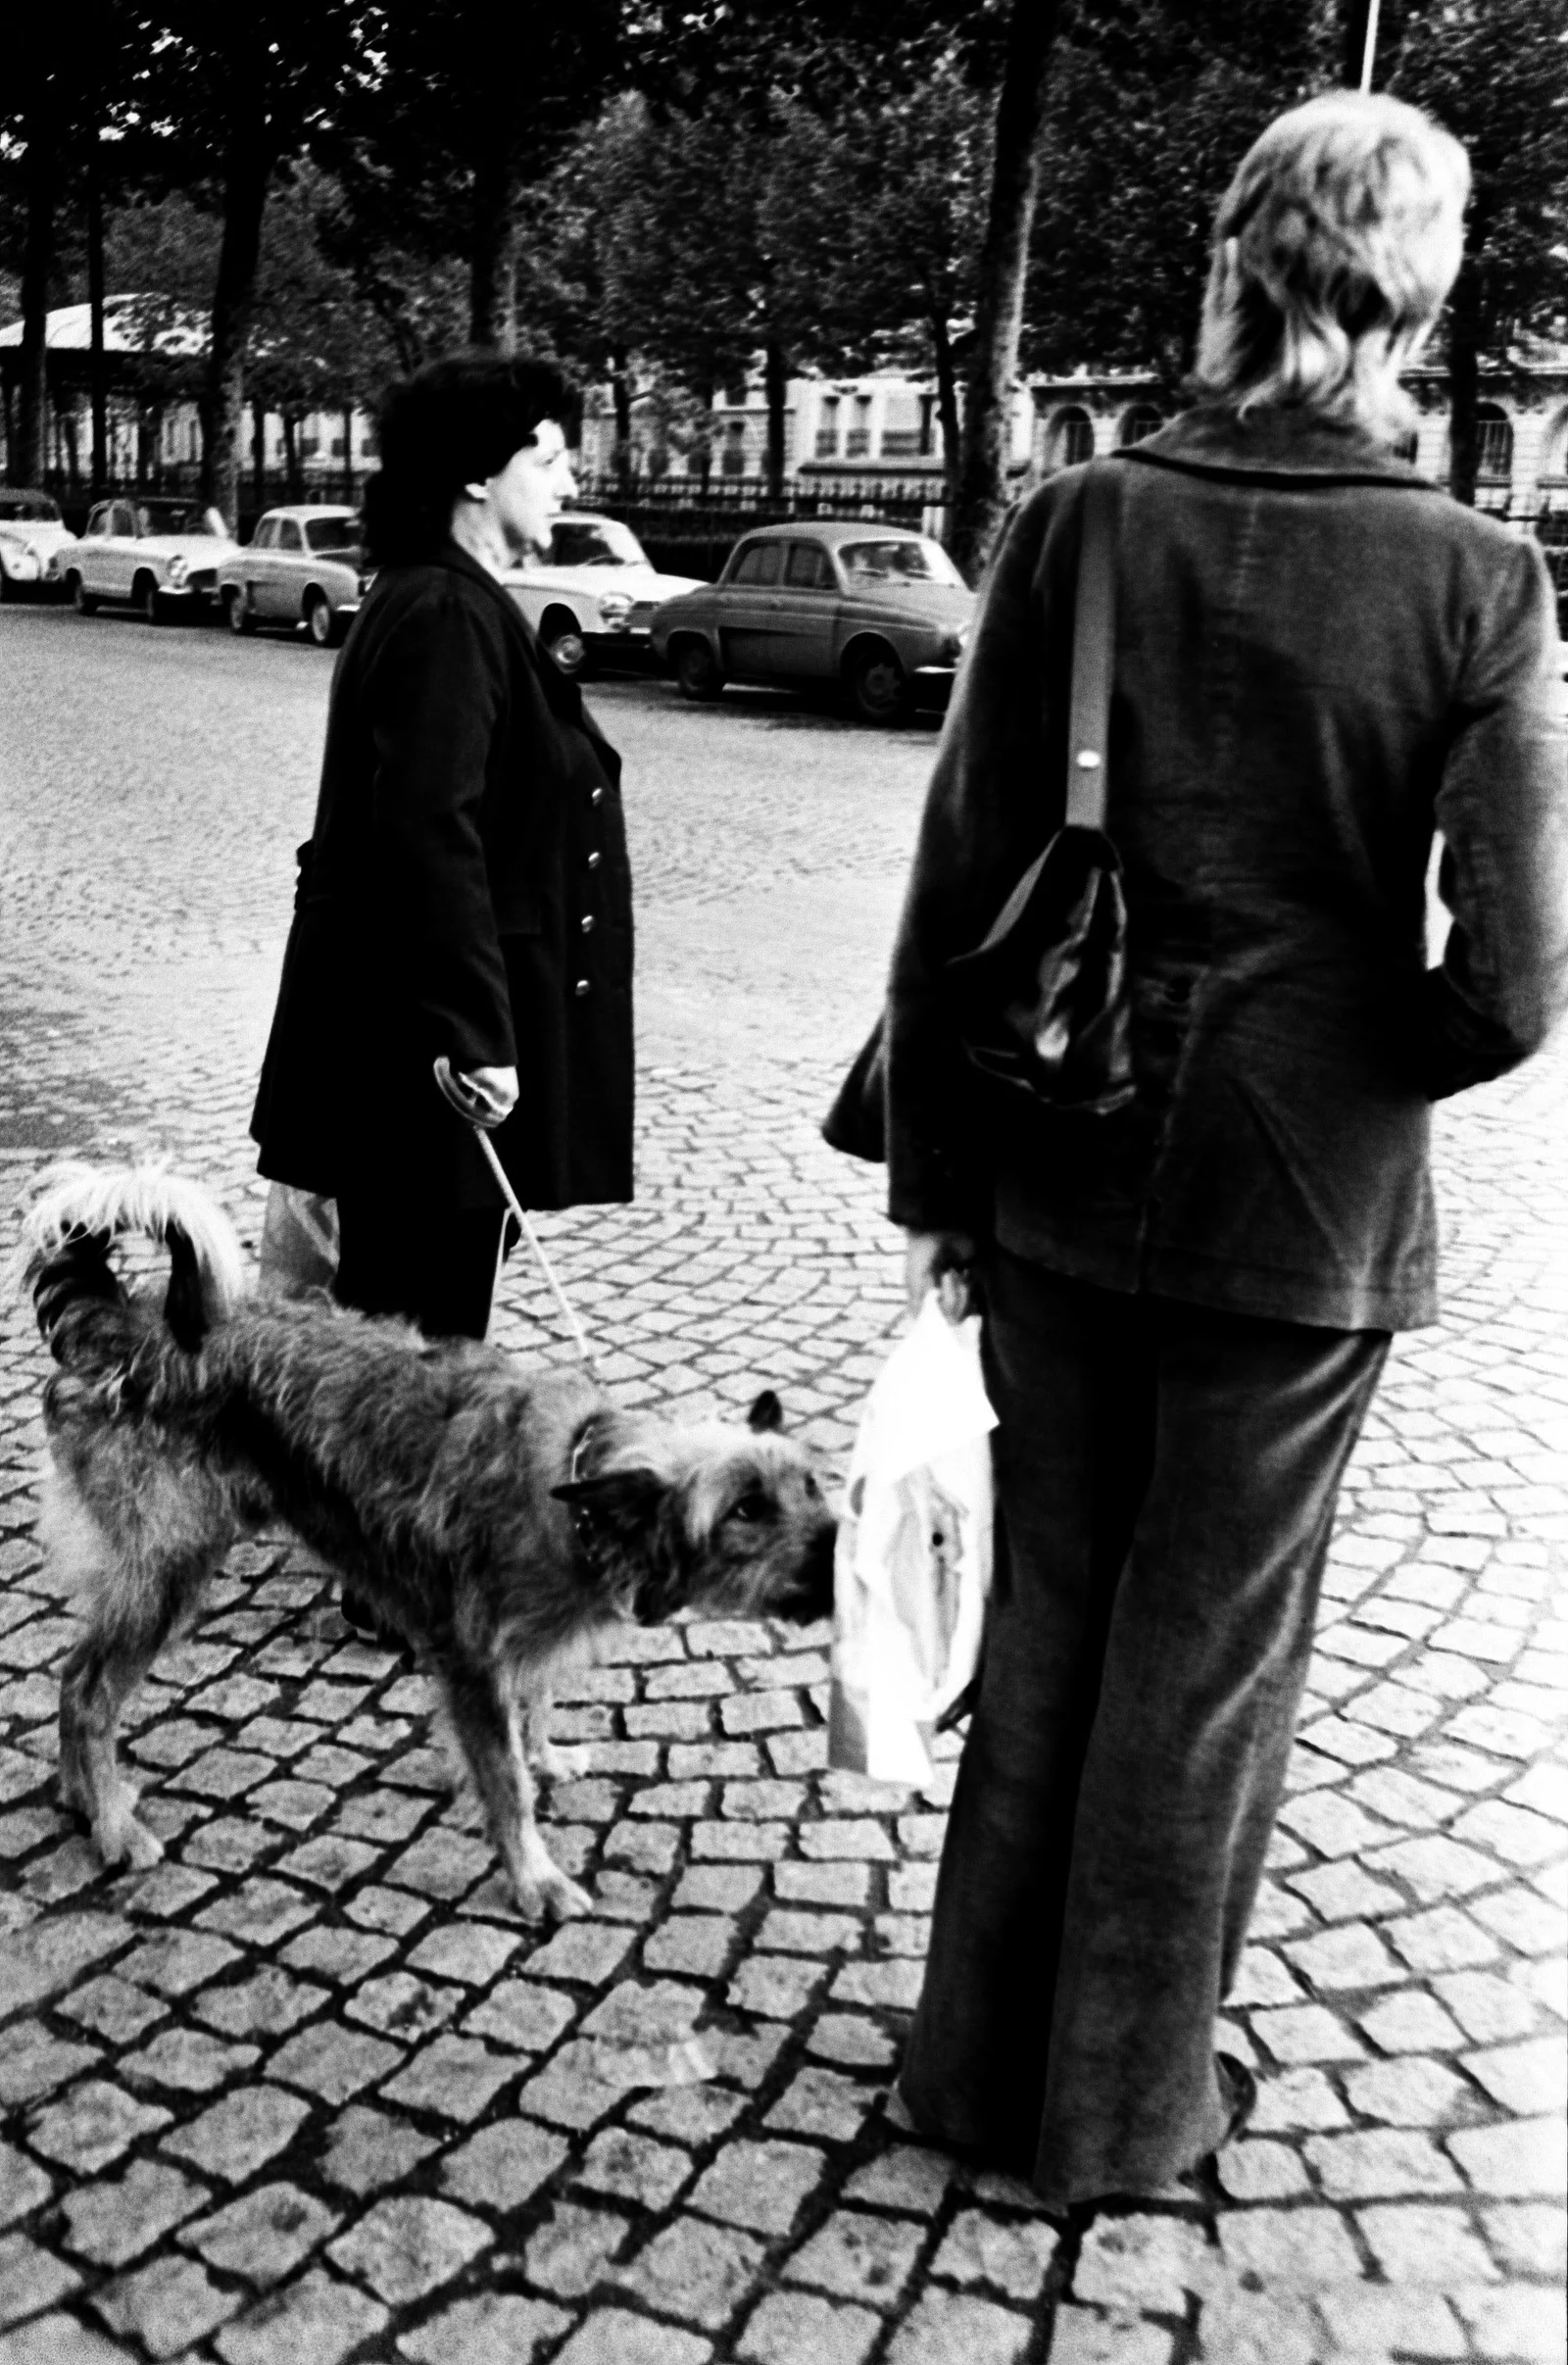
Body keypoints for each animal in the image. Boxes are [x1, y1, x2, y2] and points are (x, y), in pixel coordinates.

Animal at [15, 1164, 837, 1923]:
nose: (843, 1555)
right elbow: (506, 1783)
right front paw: (533, 1875)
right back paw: (112, 1824)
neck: (575, 1480)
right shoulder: (473, 1665)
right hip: (167, 1573)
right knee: (87, 1690)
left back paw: (81, 1797)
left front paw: (545, 1755)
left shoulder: (523, 1650)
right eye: (745, 1507)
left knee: (71, 1678)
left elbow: (535, 1712)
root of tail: (122, 1323)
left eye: (810, 1484)